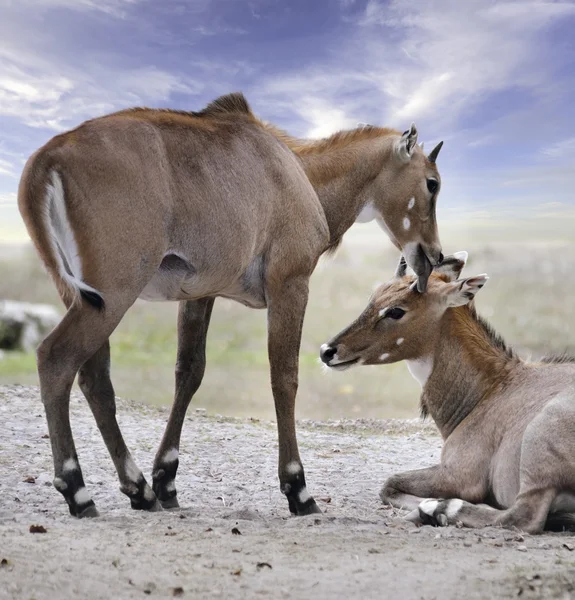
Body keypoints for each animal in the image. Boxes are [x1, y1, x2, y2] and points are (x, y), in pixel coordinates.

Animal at [15, 91, 444, 516]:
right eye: (432, 183)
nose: (435, 255)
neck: (300, 172)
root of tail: (47, 156)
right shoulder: (290, 283)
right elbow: (285, 376)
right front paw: (298, 488)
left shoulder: (200, 294)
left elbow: (189, 372)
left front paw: (166, 480)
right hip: (115, 292)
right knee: (56, 358)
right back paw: (76, 489)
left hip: (81, 295)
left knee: (94, 379)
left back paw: (138, 489)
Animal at [322, 253, 575, 536]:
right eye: (374, 297)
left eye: (396, 311)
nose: (327, 351)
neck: (492, 388)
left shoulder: (460, 474)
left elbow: (389, 484)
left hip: (539, 441)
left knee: (523, 517)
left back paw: (441, 509)